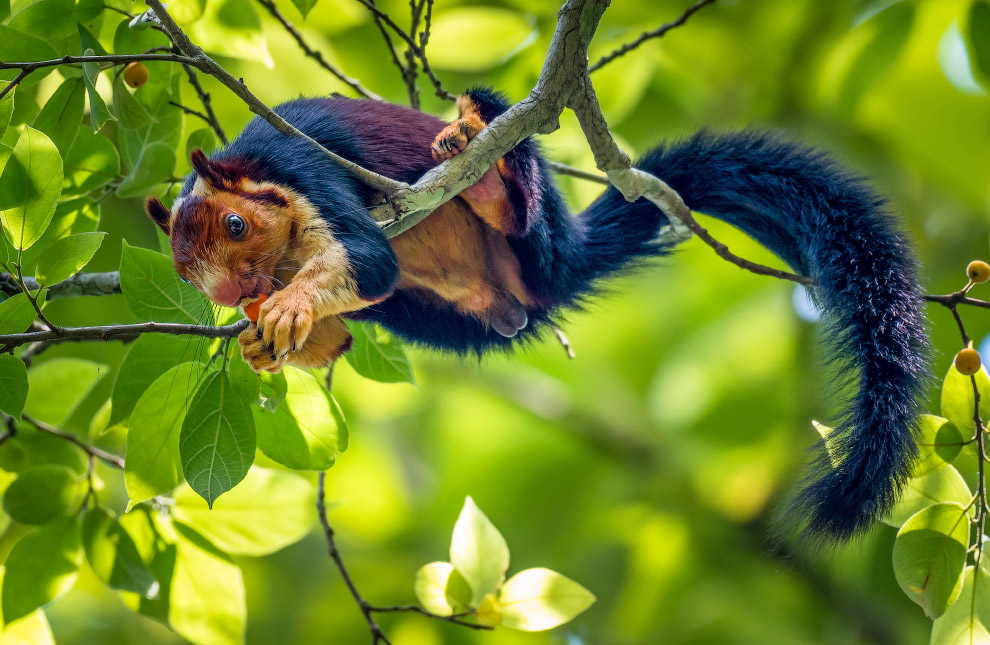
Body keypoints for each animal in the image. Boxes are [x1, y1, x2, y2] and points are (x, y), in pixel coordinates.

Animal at [145, 87, 928, 542]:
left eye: (237, 225)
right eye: (192, 277)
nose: (239, 289)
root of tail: (562, 260)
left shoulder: (304, 169)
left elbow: (367, 259)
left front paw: (290, 305)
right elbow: (347, 311)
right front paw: (264, 339)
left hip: (533, 214)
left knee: (504, 184)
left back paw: (482, 164)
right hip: (438, 316)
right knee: (373, 323)